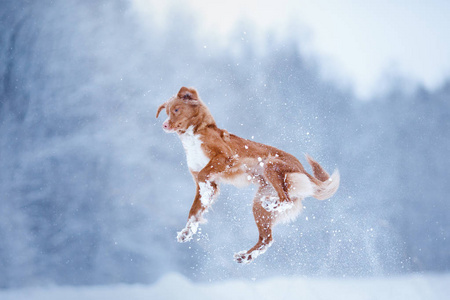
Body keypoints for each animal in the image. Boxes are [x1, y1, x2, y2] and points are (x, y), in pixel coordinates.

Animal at [156, 86, 340, 262]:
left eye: (177, 109)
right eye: (167, 112)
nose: (164, 125)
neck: (193, 136)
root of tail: (303, 169)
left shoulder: (226, 156)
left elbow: (203, 175)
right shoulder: (209, 181)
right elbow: (194, 211)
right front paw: (187, 231)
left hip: (269, 165)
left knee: (285, 200)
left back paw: (271, 204)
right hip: (259, 204)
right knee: (267, 238)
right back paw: (245, 256)